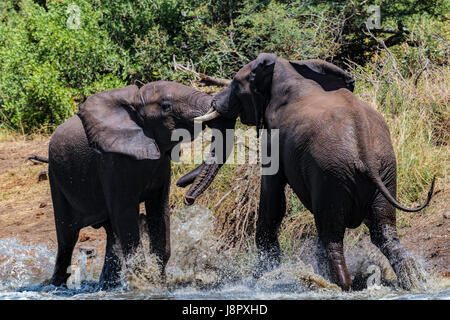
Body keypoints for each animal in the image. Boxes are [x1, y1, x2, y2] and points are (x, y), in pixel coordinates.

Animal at [47, 81, 234, 288]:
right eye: (166, 106)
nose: (188, 198)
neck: (135, 102)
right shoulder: (112, 162)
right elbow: (125, 214)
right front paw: (144, 281)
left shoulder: (160, 164)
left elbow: (159, 210)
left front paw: (158, 281)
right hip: (55, 178)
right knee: (67, 238)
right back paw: (56, 286)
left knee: (111, 233)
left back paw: (108, 285)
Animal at [179, 53, 436, 292]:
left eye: (234, 83)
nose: (187, 199)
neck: (283, 68)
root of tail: (365, 153)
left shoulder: (274, 138)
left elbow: (272, 199)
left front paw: (260, 278)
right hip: (386, 169)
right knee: (384, 231)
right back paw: (413, 282)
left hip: (331, 175)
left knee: (331, 236)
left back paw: (340, 285)